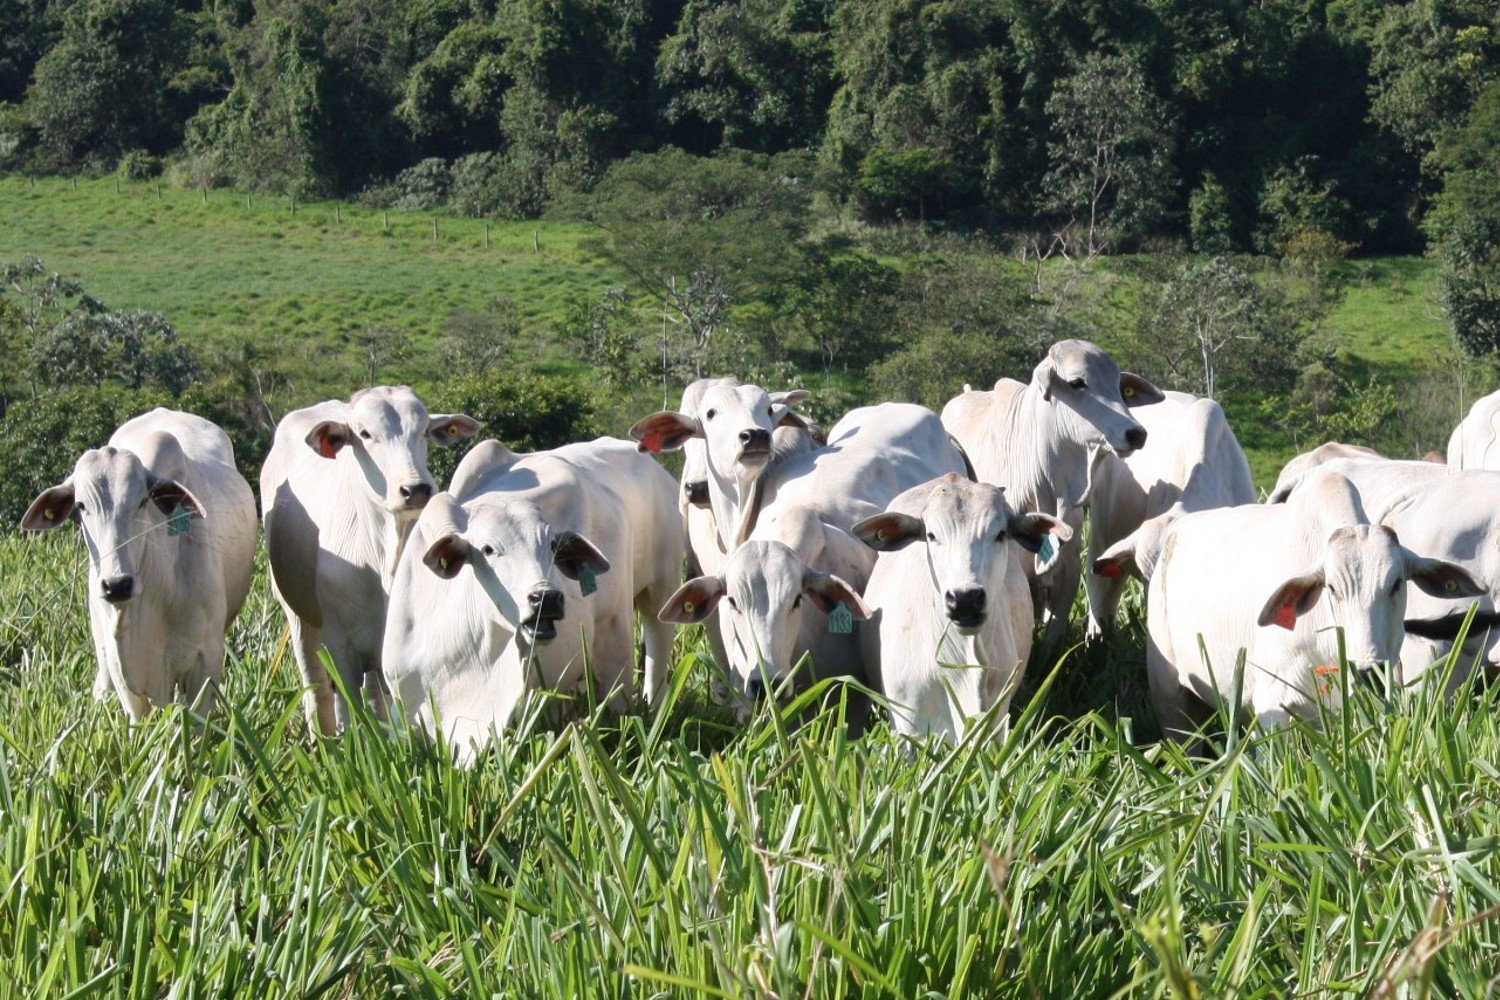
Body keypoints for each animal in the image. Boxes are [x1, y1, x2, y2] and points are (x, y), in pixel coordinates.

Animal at [258, 386, 480, 740]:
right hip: (299, 617)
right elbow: (349, 708)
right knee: (318, 689)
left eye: (424, 431)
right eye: (364, 433)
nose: (415, 489)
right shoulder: (339, 643)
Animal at [942, 340, 1164, 668]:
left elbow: (1049, 644)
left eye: (1120, 387)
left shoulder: (1068, 577)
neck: (1045, 490)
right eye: (1077, 383)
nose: (1136, 433)